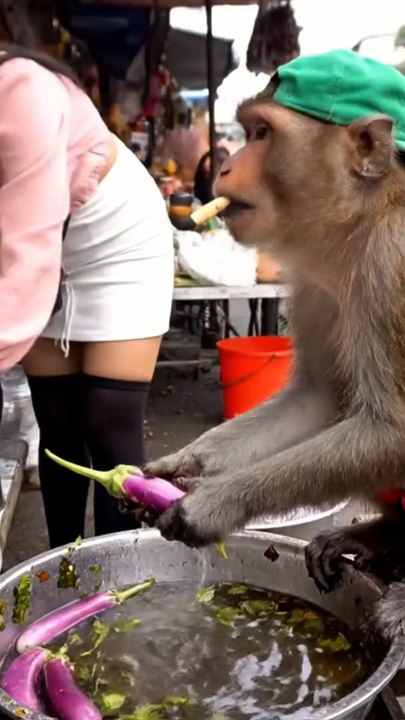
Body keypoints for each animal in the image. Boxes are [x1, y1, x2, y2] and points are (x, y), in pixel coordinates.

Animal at [146, 50, 405, 640]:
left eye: (262, 133)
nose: (222, 168)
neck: (363, 220)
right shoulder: (312, 281)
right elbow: (316, 399)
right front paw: (180, 469)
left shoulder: (392, 264)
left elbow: (393, 430)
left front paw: (213, 504)